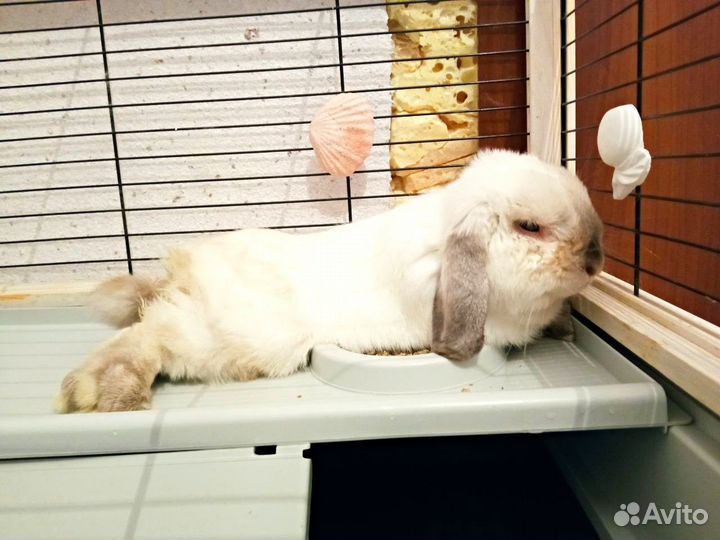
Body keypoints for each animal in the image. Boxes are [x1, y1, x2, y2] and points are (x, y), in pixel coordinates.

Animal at [56, 150, 604, 413]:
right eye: (530, 227)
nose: (596, 259)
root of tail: (180, 275)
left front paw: (565, 328)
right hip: (229, 339)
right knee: (144, 339)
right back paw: (108, 396)